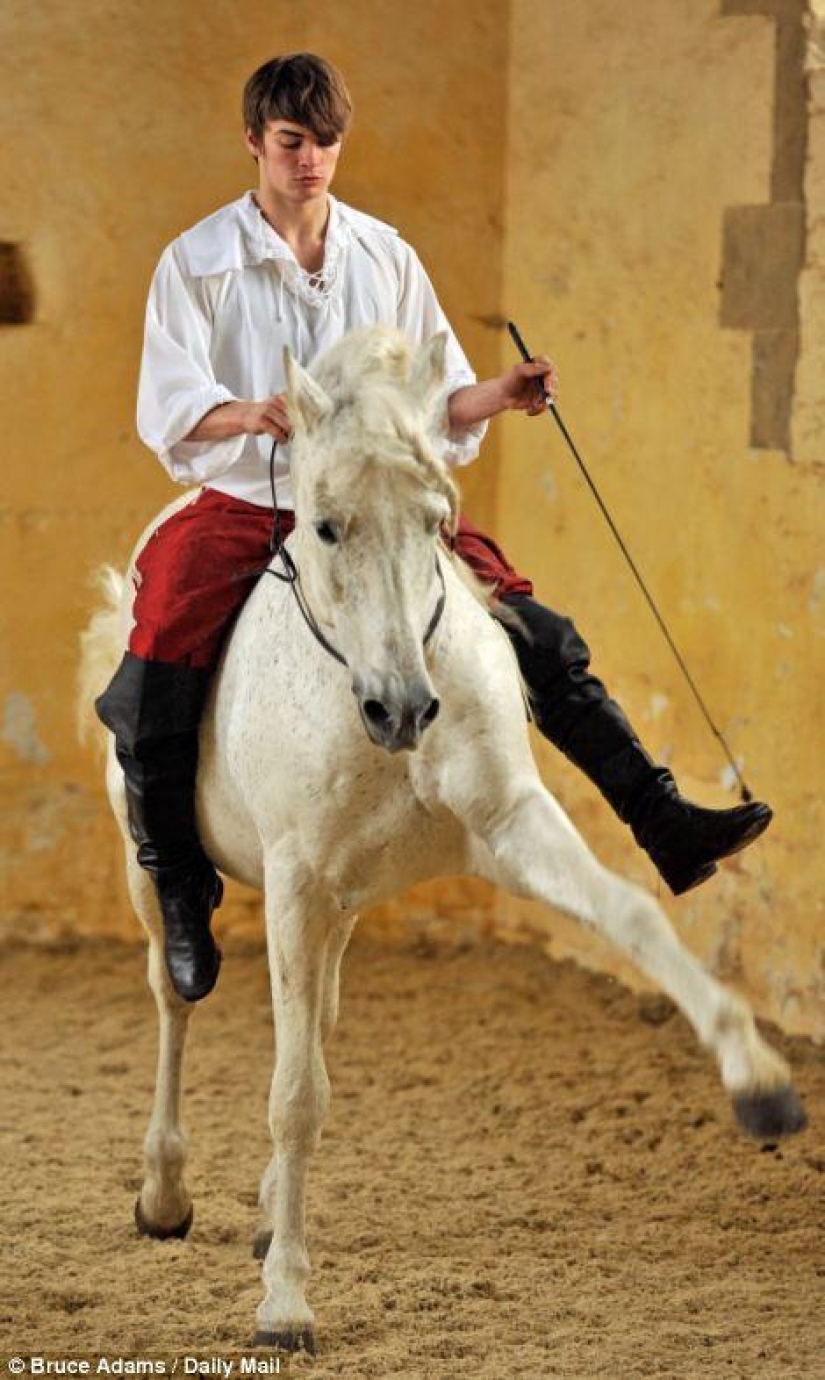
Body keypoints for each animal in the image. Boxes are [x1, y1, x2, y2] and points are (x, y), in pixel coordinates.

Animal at [82, 328, 805, 1352]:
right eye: (325, 525)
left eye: (434, 524)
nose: (403, 710)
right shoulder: (296, 882)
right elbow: (293, 1096)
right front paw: (285, 1303)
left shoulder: (505, 824)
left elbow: (632, 918)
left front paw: (761, 1083)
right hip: (162, 879)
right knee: (174, 996)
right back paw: (164, 1193)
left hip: (341, 909)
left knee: (315, 1021)